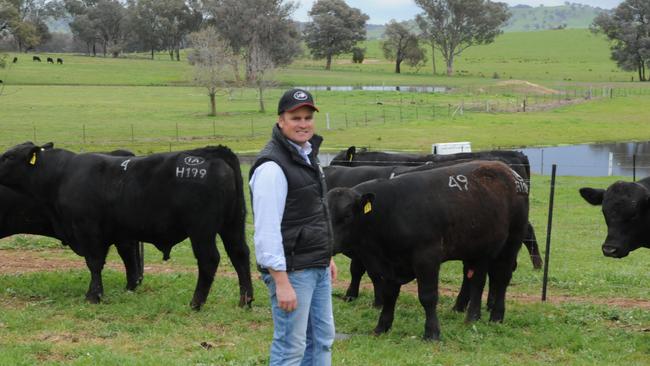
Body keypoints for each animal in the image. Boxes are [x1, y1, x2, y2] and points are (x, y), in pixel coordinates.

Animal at [0, 142, 252, 308]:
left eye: (8, 157)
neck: (62, 175)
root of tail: (212, 153)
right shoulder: (120, 234)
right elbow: (128, 260)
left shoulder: (88, 230)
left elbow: (94, 263)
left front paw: (93, 296)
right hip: (233, 223)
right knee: (240, 254)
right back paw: (245, 301)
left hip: (201, 229)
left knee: (209, 259)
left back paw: (196, 303)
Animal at [326, 162, 528, 338]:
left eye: (347, 215)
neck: (391, 210)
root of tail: (509, 172)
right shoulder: (391, 264)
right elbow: (389, 294)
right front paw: (382, 327)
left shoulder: (427, 257)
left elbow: (428, 296)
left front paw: (432, 333)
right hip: (479, 249)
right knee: (477, 281)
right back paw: (472, 317)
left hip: (512, 241)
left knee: (501, 278)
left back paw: (496, 316)